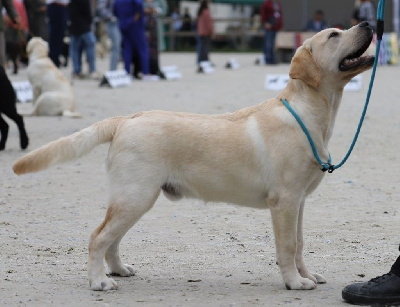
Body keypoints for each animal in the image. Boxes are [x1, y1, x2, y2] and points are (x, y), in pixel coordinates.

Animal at [13, 22, 376, 292]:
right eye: (334, 35)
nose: (369, 23)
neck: (310, 114)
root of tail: (126, 119)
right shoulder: (284, 201)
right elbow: (287, 247)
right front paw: (294, 282)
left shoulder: (299, 201)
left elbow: (300, 244)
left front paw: (307, 275)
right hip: (136, 196)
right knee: (97, 237)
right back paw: (99, 281)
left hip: (134, 199)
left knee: (111, 239)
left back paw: (117, 270)